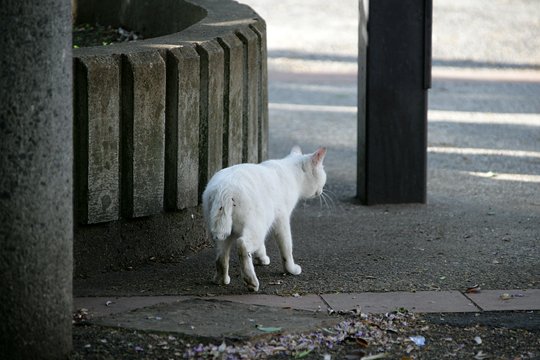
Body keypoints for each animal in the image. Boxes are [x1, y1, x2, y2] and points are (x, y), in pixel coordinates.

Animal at [201, 148, 324, 292]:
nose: (321, 191)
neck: (292, 173)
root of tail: (224, 189)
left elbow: (262, 246)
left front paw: (261, 258)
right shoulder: (282, 220)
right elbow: (287, 248)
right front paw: (291, 269)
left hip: (226, 233)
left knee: (221, 256)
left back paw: (221, 279)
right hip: (256, 226)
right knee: (242, 245)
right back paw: (251, 281)